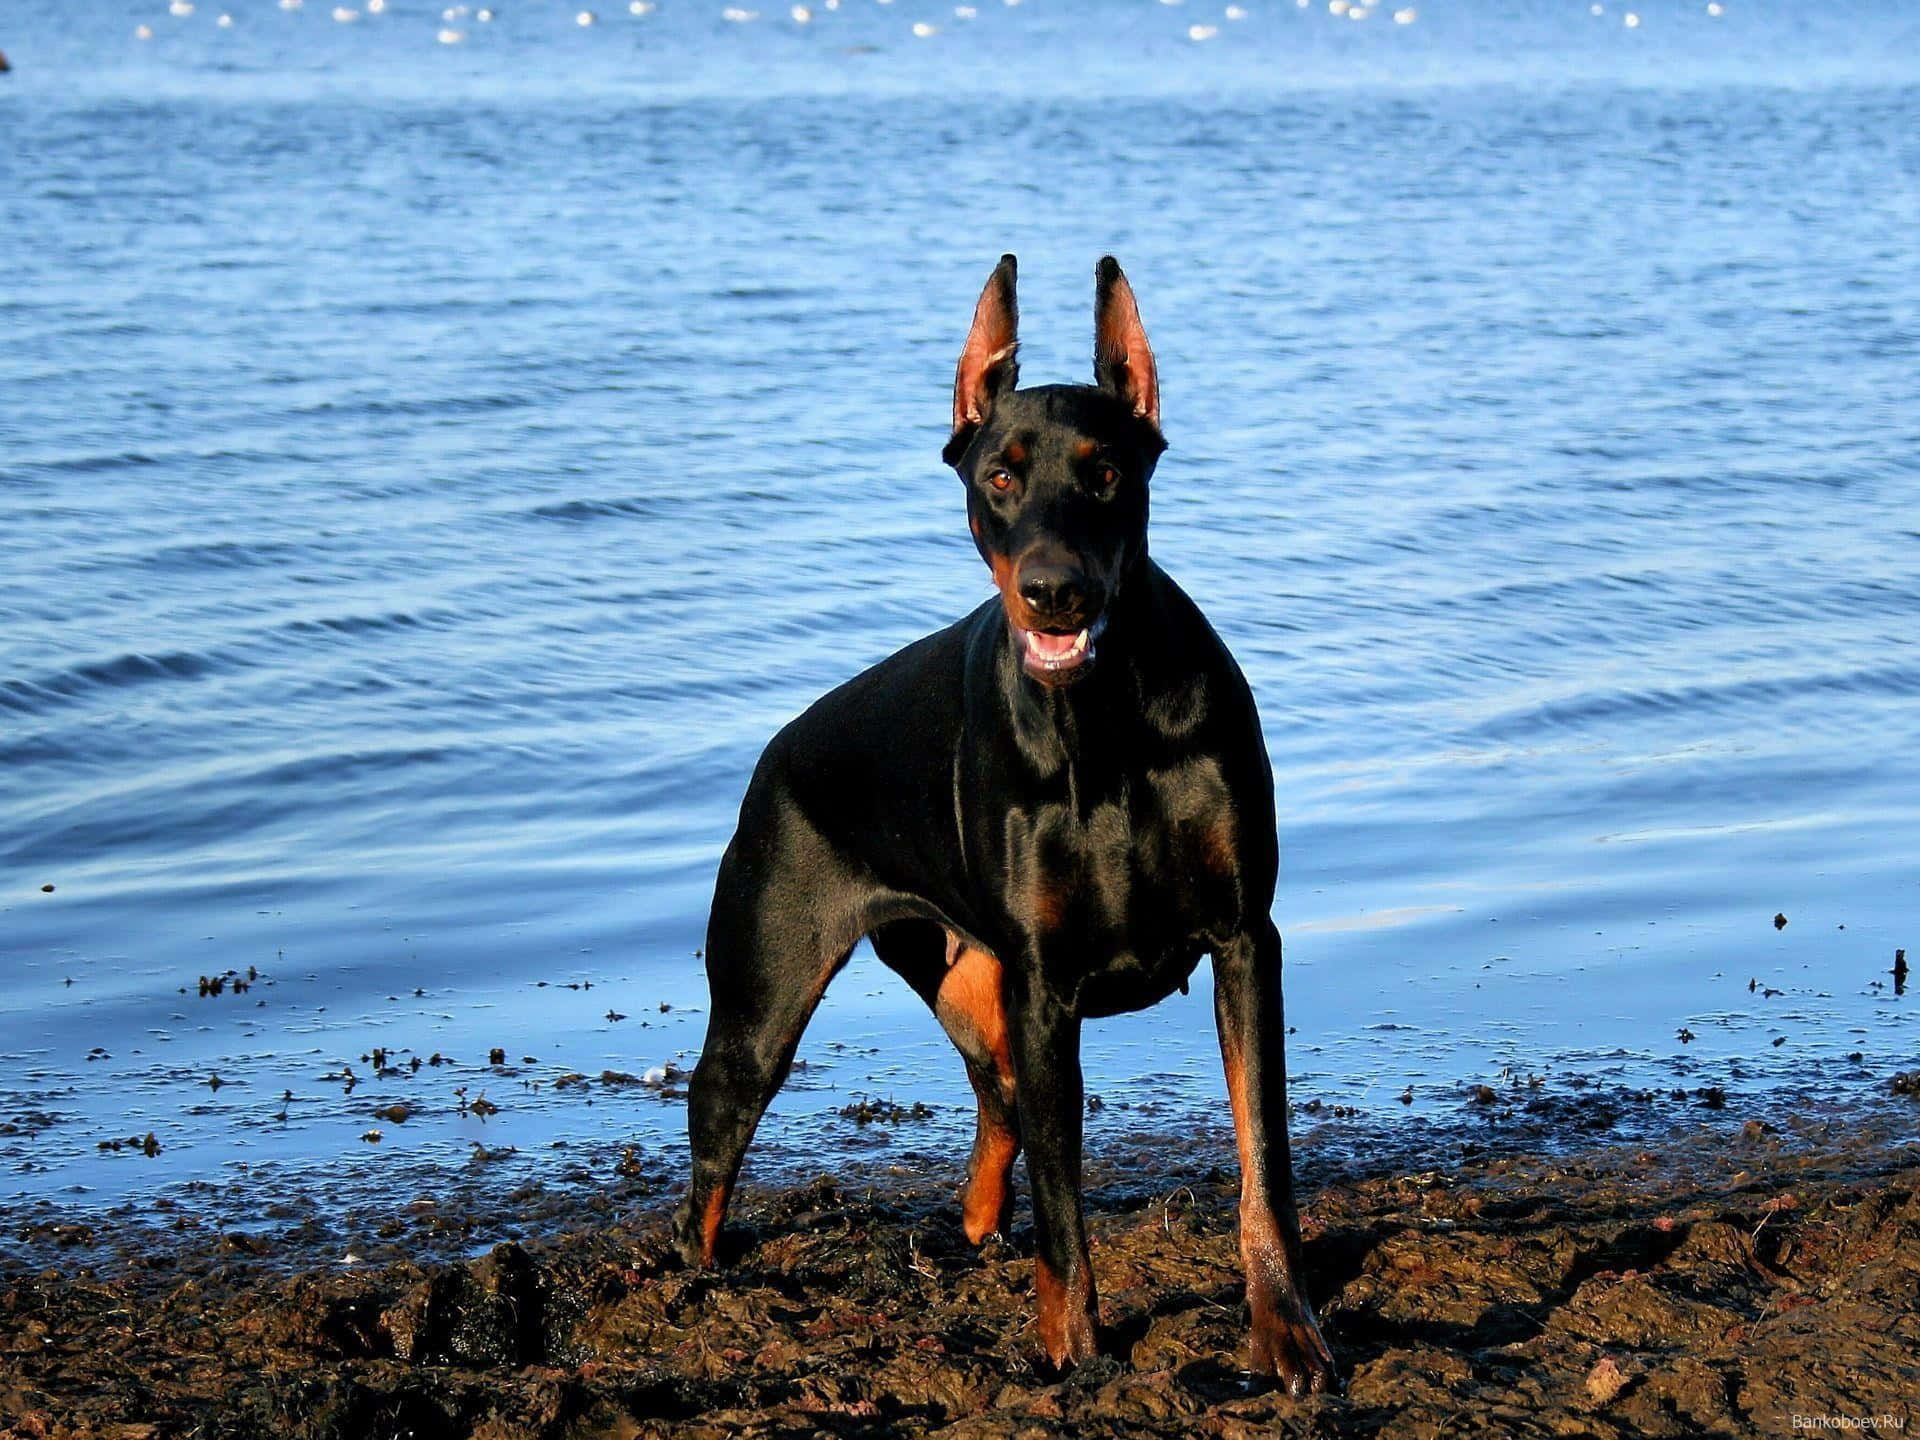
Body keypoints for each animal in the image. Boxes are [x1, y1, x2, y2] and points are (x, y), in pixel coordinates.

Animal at [675, 253, 1336, 1390]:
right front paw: (1074, 1350)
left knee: (997, 1101)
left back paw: (978, 1227)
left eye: (1106, 474)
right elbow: (1066, 1204)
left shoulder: (1245, 939)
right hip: (771, 998)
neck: (1103, 726)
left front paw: (1286, 1330)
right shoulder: (1046, 980)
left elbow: (1265, 1160)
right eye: (999, 477)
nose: (1053, 593)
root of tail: (781, 749)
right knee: (718, 1148)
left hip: (965, 979)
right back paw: (702, 1281)